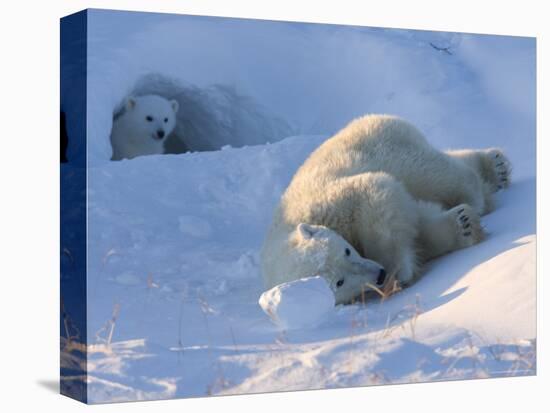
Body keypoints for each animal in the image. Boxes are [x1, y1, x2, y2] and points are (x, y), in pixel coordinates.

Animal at [262, 114, 512, 304]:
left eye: (346, 250)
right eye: (339, 282)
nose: (379, 275)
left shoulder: (333, 204)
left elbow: (376, 190)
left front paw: (397, 272)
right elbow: (418, 221)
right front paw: (463, 225)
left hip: (385, 148)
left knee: (433, 173)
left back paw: (483, 182)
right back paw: (495, 167)